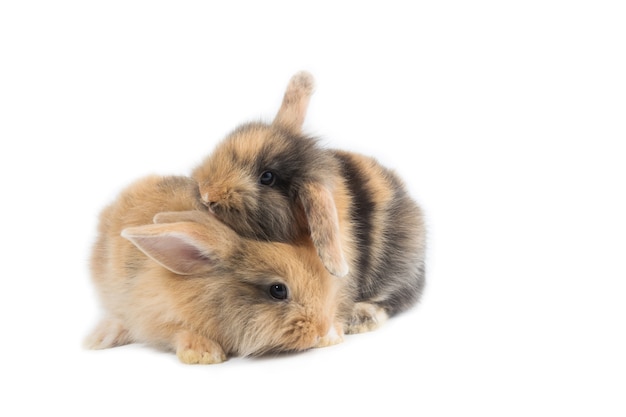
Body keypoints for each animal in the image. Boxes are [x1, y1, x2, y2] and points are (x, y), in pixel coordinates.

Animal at [83, 174, 344, 362]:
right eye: (278, 290)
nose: (320, 329)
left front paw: (333, 336)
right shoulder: (153, 317)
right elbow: (176, 332)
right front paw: (204, 354)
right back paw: (98, 339)